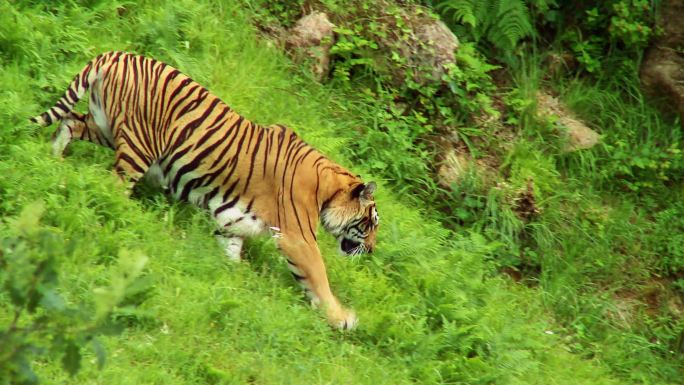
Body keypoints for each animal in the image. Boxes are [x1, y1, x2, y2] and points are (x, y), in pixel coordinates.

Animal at [32, 50, 380, 328]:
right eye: (371, 223)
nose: (373, 250)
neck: (327, 191)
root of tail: (116, 55)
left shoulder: (233, 223)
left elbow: (232, 254)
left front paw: (236, 284)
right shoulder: (299, 238)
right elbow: (319, 278)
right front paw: (342, 318)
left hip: (105, 128)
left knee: (70, 123)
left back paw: (54, 162)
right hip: (139, 146)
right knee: (113, 187)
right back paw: (135, 222)